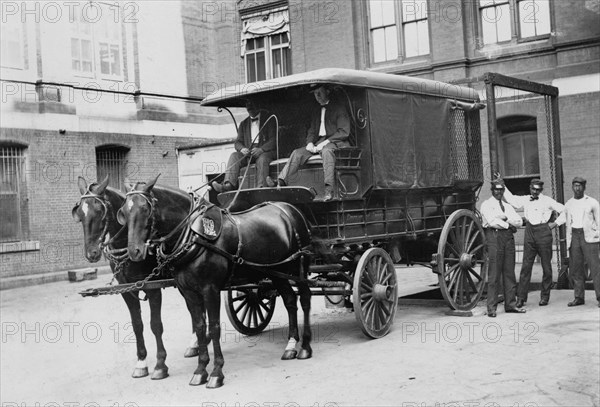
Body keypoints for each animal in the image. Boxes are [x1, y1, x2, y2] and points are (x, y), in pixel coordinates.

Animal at [73, 177, 197, 380]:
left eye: (99, 211)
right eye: (80, 213)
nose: (92, 253)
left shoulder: (153, 288)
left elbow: (156, 325)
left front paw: (160, 365)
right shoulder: (127, 290)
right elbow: (137, 325)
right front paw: (141, 363)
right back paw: (195, 344)